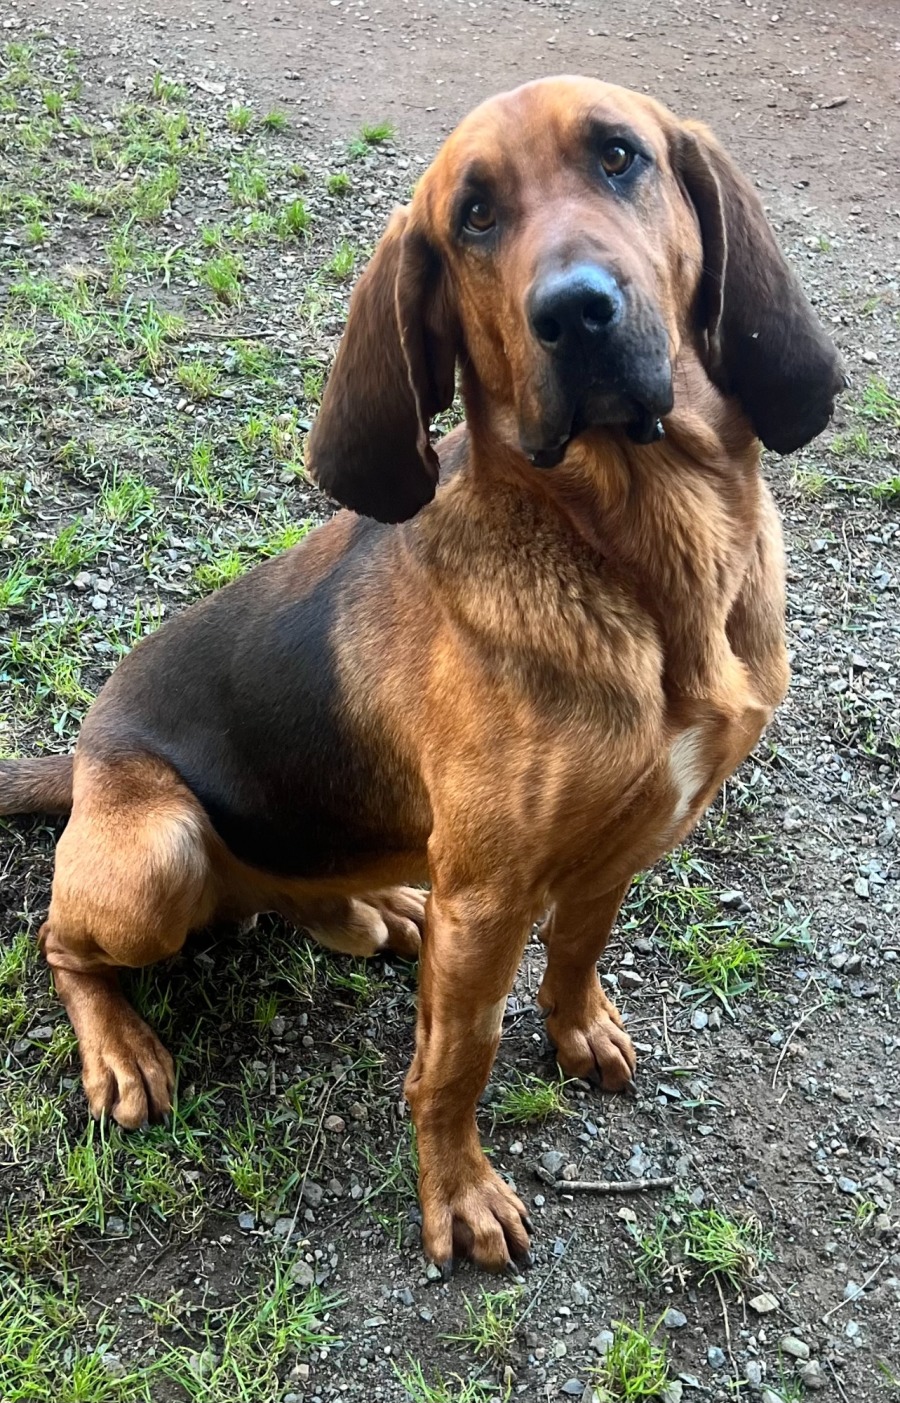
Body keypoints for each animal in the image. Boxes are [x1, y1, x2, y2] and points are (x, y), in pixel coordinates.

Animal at [0, 76, 844, 1274]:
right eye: (473, 218)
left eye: (621, 156)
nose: (575, 312)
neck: (644, 554)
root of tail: (82, 751)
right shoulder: (489, 900)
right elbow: (455, 1061)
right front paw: (459, 1192)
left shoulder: (630, 833)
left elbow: (579, 948)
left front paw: (578, 1027)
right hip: (157, 854)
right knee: (60, 942)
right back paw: (121, 1046)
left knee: (300, 895)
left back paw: (372, 907)